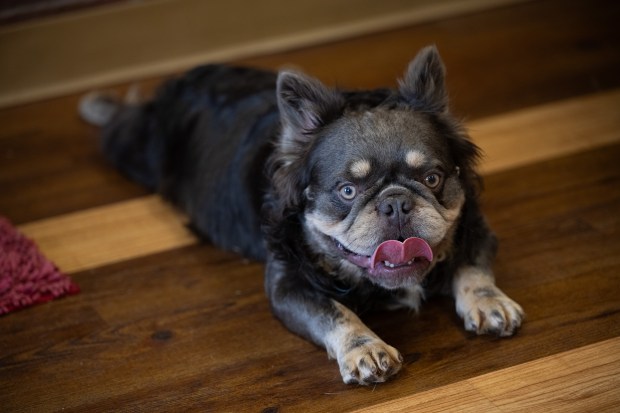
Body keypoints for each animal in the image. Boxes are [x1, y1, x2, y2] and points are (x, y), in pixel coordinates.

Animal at [77, 46, 524, 384]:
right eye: (347, 191)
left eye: (432, 178)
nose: (396, 203)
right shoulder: (289, 285)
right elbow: (335, 311)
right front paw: (366, 349)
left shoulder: (477, 231)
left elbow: (471, 267)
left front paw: (489, 302)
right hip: (136, 151)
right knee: (122, 121)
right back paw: (100, 105)